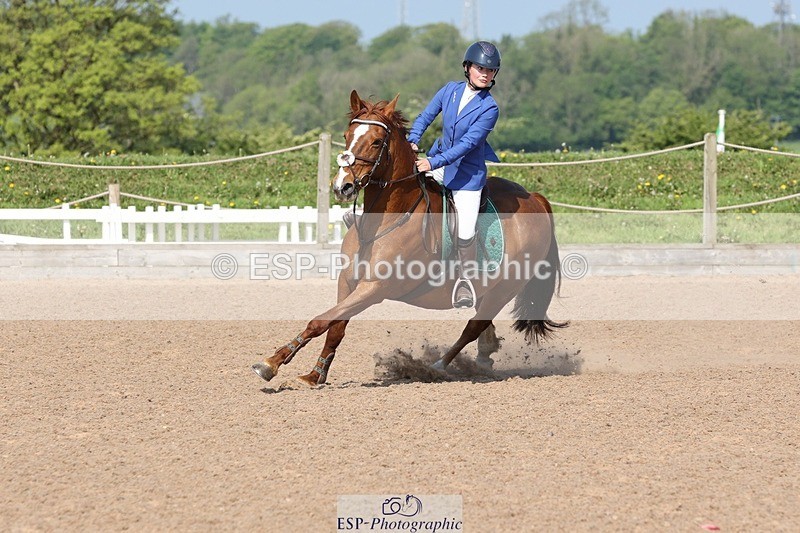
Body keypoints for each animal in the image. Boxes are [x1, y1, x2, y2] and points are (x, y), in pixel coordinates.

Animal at [252, 90, 566, 387]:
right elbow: (336, 326)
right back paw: (481, 360)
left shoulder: (375, 288)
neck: (382, 222)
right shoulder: (349, 280)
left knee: (473, 327)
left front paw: (271, 364)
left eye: (377, 142)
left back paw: (437, 367)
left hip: (504, 289)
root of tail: (535, 198)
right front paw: (315, 374)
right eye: (346, 136)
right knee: (483, 328)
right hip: (488, 289)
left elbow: (321, 321)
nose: (343, 187)